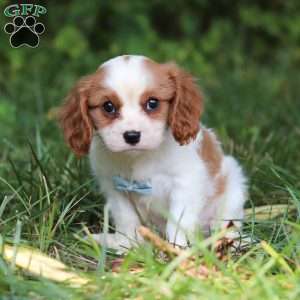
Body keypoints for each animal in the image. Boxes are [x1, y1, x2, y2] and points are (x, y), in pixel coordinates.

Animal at [59, 54, 247, 251]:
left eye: (153, 103)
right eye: (108, 107)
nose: (132, 135)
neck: (139, 157)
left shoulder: (186, 184)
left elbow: (177, 221)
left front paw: (176, 248)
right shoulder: (115, 188)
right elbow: (126, 218)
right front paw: (125, 245)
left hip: (232, 192)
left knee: (226, 225)